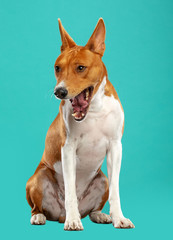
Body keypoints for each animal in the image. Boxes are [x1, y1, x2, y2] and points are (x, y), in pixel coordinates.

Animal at [25, 17, 134, 230]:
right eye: (57, 68)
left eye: (81, 68)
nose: (59, 92)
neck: (95, 110)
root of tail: (59, 215)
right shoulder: (68, 148)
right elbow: (70, 192)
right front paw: (73, 220)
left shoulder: (116, 147)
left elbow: (116, 191)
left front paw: (119, 218)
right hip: (37, 178)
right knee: (38, 207)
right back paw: (40, 216)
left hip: (102, 180)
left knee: (93, 209)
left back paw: (100, 215)